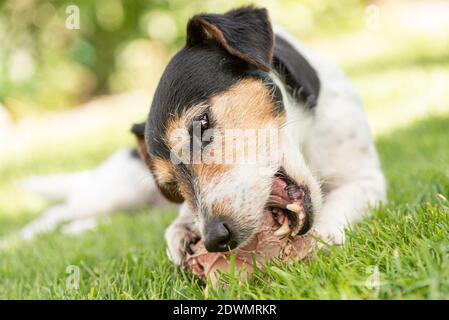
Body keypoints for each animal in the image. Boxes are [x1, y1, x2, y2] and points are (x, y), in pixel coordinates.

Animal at [14, 7, 384, 266]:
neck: (304, 140)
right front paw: (180, 232)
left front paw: (322, 236)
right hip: (113, 191)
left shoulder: (367, 179)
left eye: (201, 126)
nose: (215, 238)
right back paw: (21, 239)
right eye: (172, 185)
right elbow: (177, 220)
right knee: (60, 210)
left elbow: (339, 205)